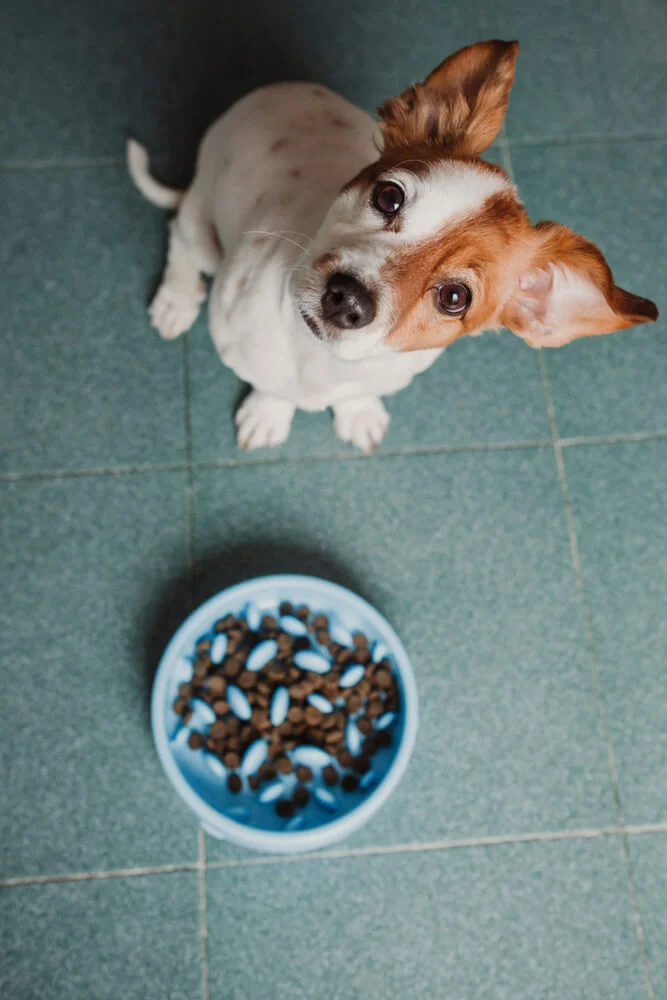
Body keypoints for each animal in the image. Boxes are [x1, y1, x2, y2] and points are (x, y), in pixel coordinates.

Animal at [128, 40, 660, 454]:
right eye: (389, 196)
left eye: (454, 297)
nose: (346, 299)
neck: (319, 357)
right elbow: (270, 383)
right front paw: (269, 411)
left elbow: (351, 395)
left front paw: (356, 412)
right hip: (203, 231)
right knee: (180, 237)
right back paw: (176, 300)